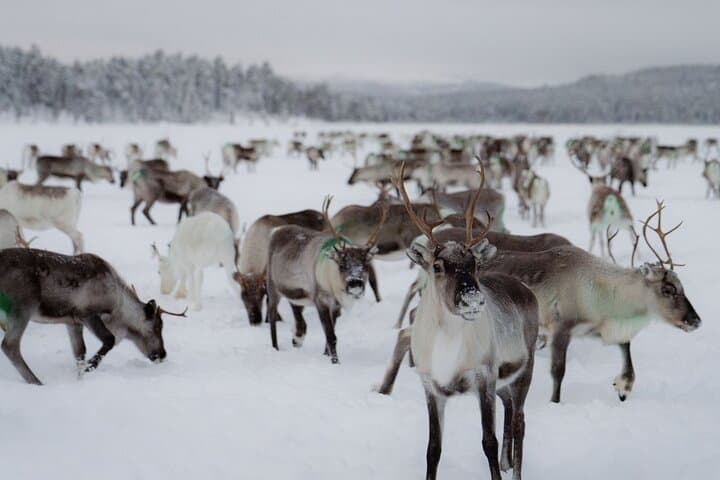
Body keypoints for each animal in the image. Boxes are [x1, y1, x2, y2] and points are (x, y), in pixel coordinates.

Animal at [0, 248, 184, 384]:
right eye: (157, 327)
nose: (162, 354)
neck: (119, 304)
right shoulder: (87, 314)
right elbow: (109, 340)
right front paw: (90, 366)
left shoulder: (72, 322)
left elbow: (80, 352)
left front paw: (80, 377)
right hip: (23, 306)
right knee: (10, 345)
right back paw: (36, 382)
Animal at [264, 197, 386, 364]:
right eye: (342, 265)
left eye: (366, 265)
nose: (355, 283)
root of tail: (276, 230)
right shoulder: (320, 301)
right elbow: (330, 336)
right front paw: (335, 362)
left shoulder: (335, 306)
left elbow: (331, 334)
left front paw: (325, 355)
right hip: (272, 289)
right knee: (272, 318)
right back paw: (275, 348)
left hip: (295, 295)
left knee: (295, 310)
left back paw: (296, 338)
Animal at [390, 163, 539, 480]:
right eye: (437, 266)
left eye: (474, 264)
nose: (473, 299)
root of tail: (525, 290)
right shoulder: (431, 387)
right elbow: (433, 449)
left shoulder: (484, 377)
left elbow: (488, 442)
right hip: (503, 381)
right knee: (509, 406)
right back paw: (508, 461)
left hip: (524, 369)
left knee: (519, 420)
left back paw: (514, 468)